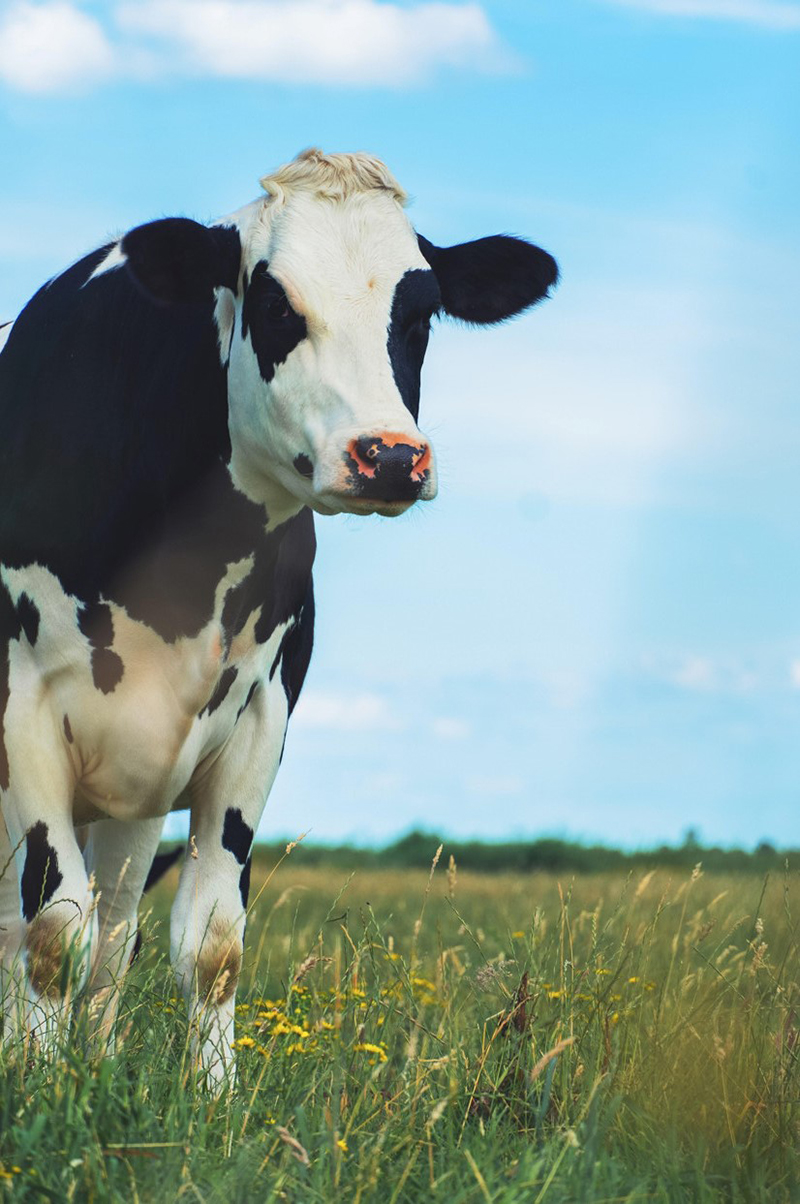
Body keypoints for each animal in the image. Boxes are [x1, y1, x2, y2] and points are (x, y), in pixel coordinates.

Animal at [0, 149, 557, 1087]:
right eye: (273, 305)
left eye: (422, 312)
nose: (391, 456)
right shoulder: (24, 704)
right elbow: (50, 928)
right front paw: (37, 1090)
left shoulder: (259, 714)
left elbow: (207, 940)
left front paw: (209, 1099)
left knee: (116, 930)